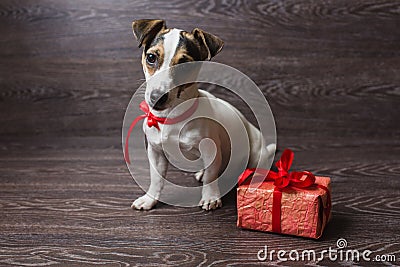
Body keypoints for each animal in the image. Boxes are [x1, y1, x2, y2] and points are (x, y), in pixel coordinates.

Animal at [130, 18, 276, 211]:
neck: (172, 117)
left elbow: (211, 178)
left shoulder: (211, 151)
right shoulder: (155, 152)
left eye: (185, 64)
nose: (157, 97)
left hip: (257, 155)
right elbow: (156, 179)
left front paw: (210, 197)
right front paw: (149, 199)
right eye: (151, 57)